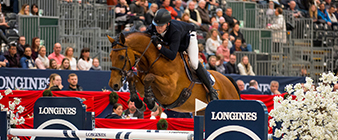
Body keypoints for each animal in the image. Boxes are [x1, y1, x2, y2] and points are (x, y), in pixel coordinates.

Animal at [107, 32, 239, 113]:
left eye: (121, 57)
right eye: (110, 56)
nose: (113, 84)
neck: (154, 60)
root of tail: (228, 80)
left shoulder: (170, 89)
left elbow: (149, 77)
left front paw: (151, 103)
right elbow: (133, 78)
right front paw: (139, 102)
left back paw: (213, 93)